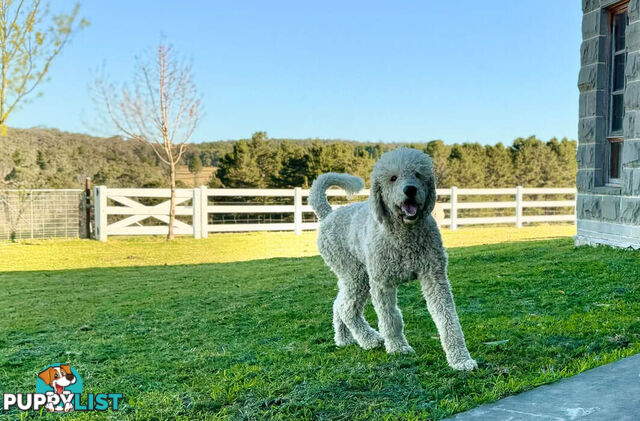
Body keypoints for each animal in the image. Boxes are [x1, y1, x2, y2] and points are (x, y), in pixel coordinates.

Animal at [308, 146, 478, 370]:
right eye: (393, 178)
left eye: (418, 174)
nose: (410, 190)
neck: (405, 235)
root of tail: (328, 214)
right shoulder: (382, 282)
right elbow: (390, 318)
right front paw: (398, 347)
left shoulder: (434, 276)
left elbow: (448, 319)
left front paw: (461, 359)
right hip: (357, 274)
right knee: (347, 308)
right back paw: (370, 339)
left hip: (350, 276)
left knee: (338, 304)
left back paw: (345, 339)